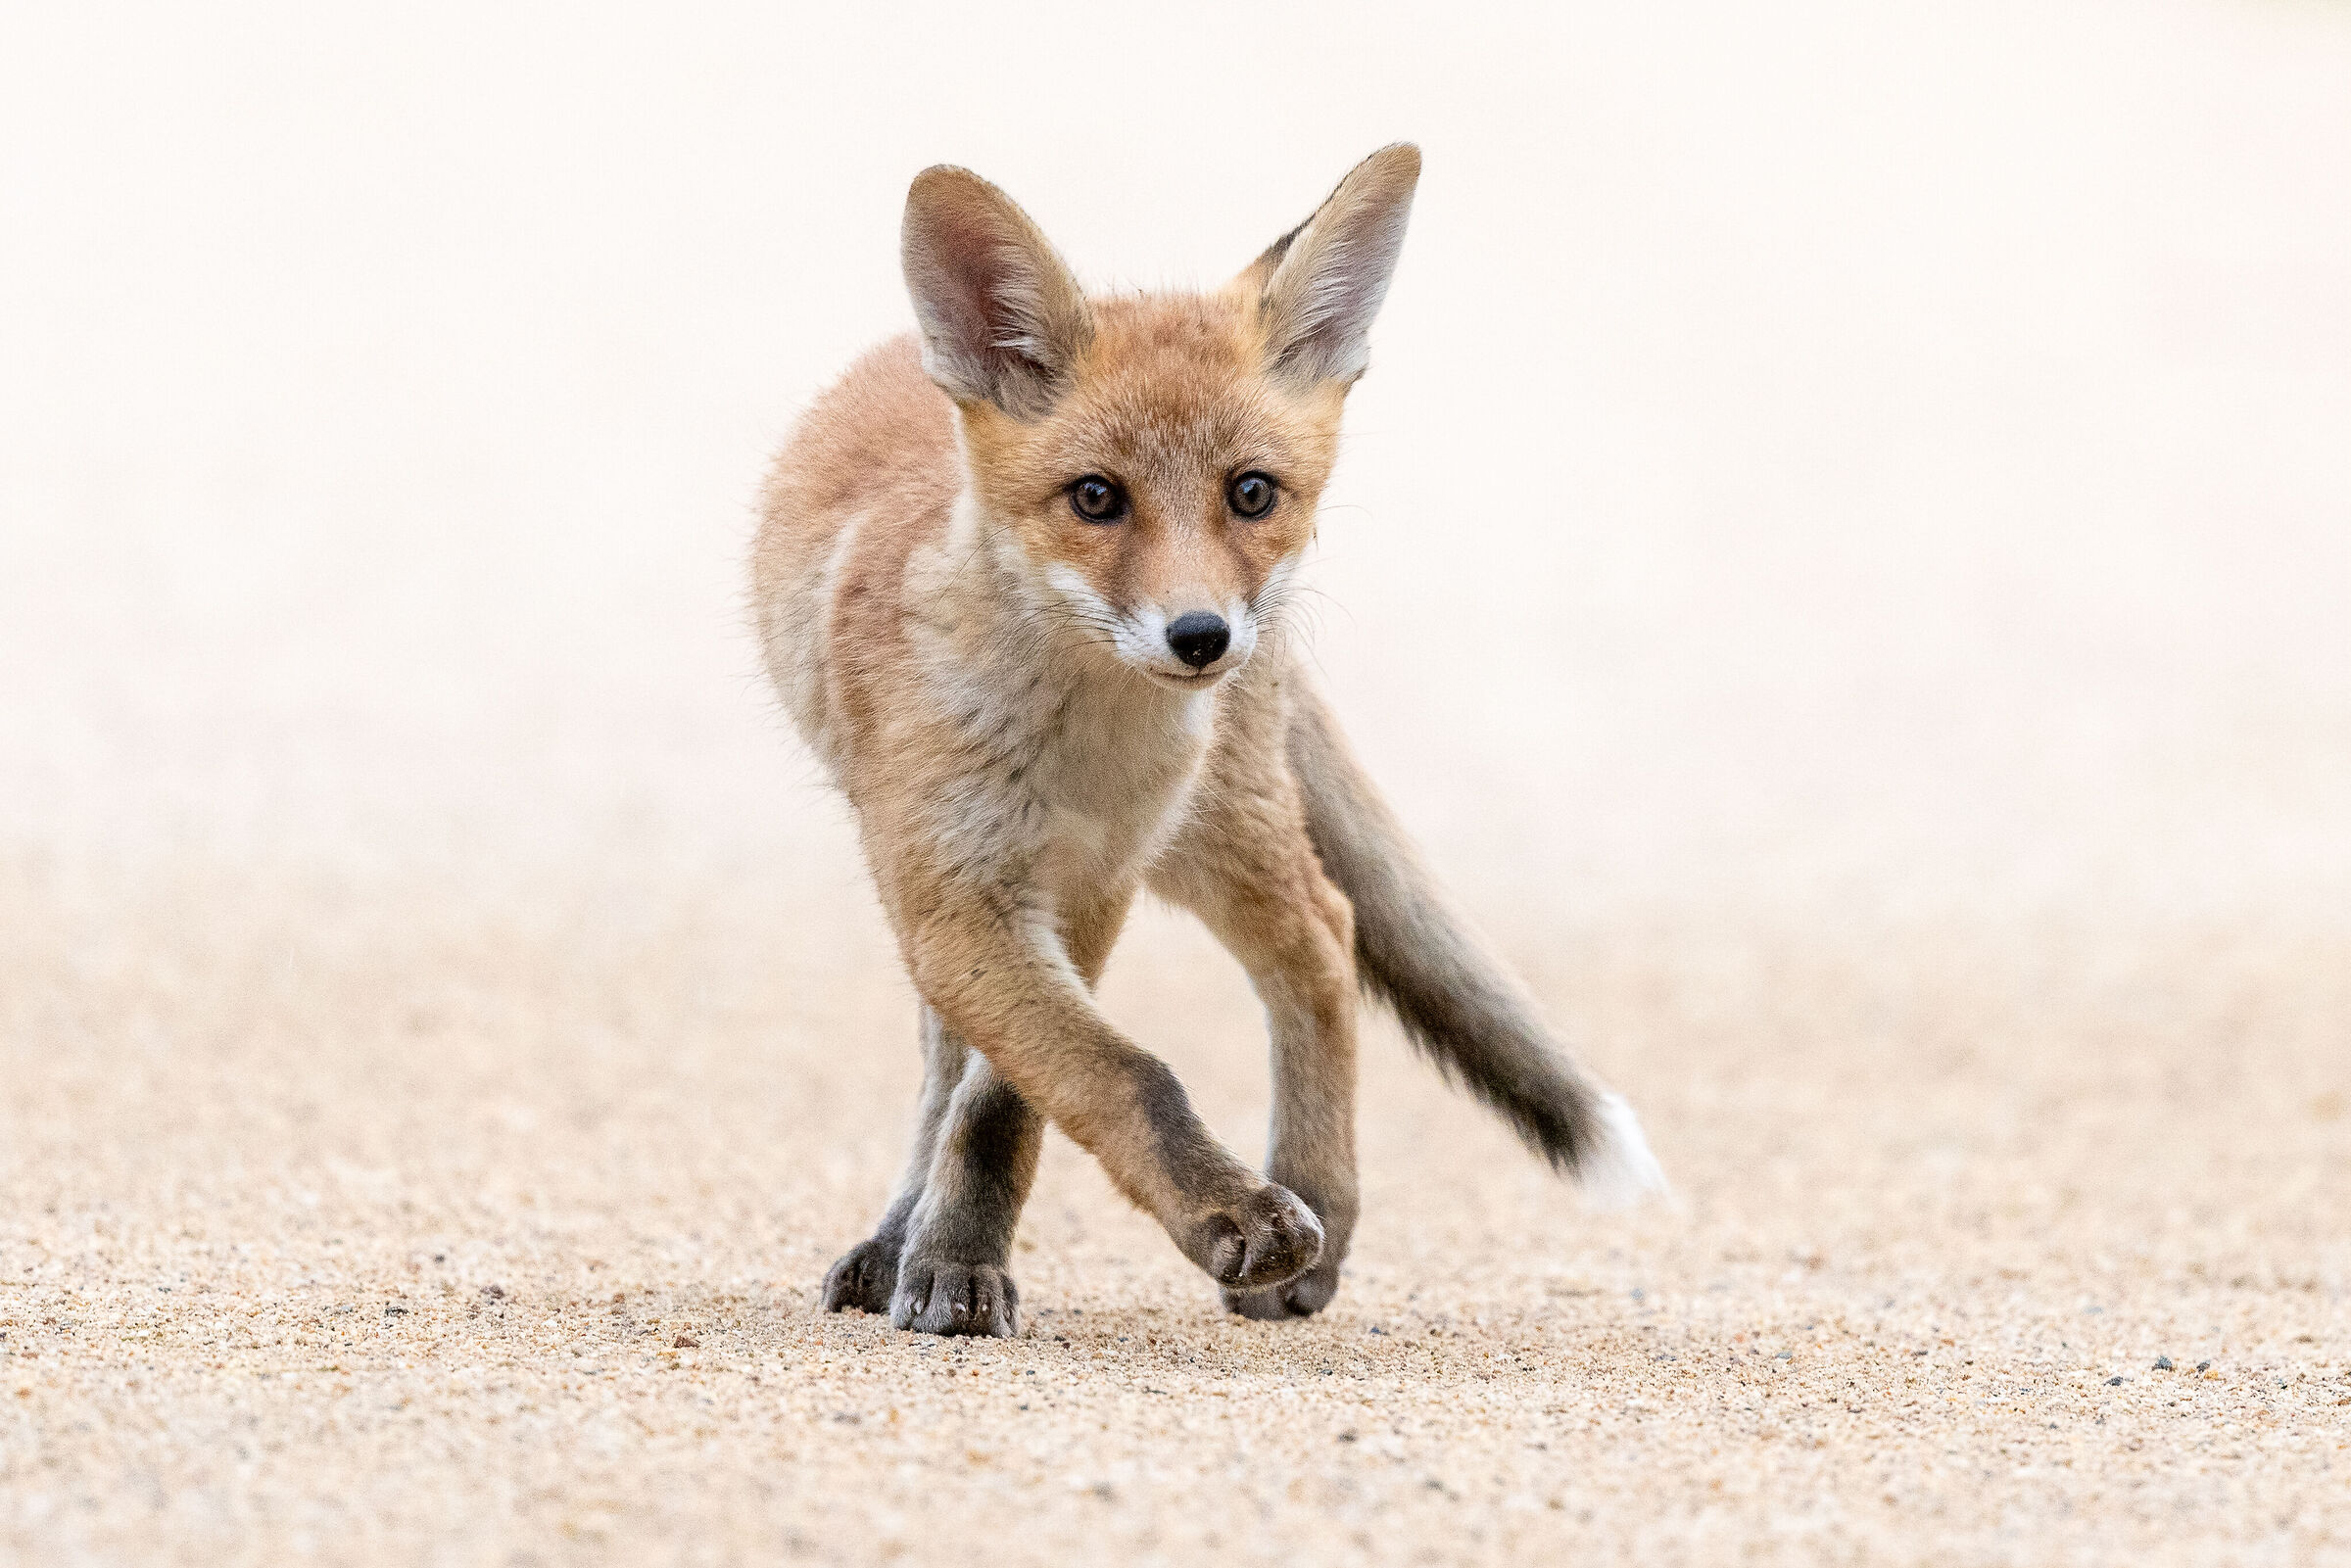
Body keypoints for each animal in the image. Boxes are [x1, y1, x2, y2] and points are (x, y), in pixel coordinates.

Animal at [750, 144, 1664, 1338]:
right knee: (949, 1053)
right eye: (1096, 497)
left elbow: (1016, 1102)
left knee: (1322, 933)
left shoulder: (1095, 880)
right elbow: (1091, 1072)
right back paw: (897, 1234)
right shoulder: (956, 890)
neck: (1074, 753)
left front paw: (969, 1250)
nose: (1201, 636)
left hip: (1214, 826)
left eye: (1251, 492)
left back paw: (1319, 1203)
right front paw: (955, 1257)